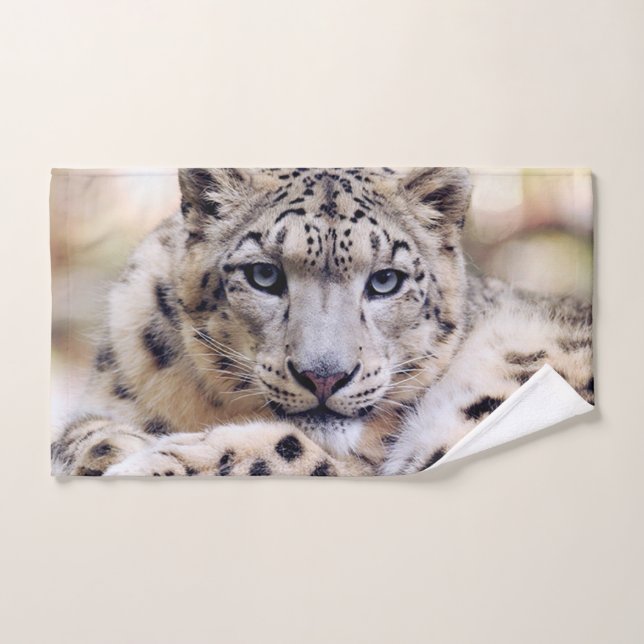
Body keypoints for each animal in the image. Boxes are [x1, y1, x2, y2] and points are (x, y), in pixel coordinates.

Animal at [51, 167, 594, 477]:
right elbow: (79, 431)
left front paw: (146, 457)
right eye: (264, 274)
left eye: (385, 281)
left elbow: (290, 451)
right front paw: (106, 446)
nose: (324, 376)